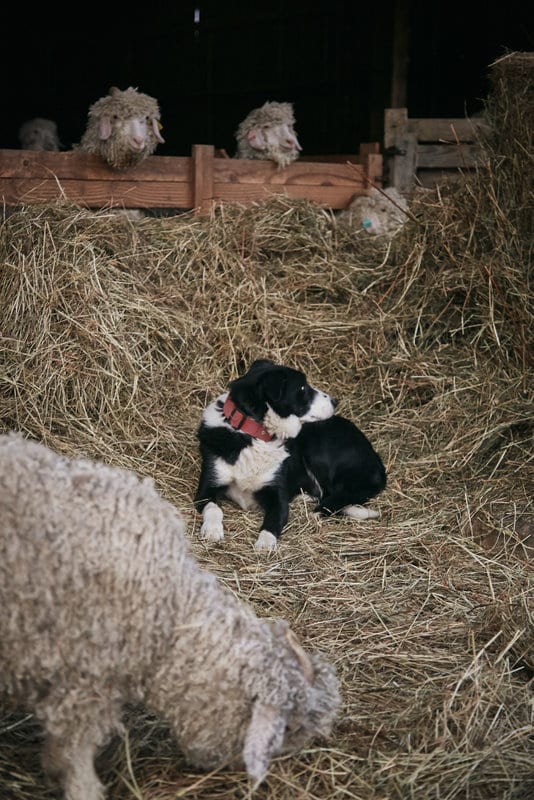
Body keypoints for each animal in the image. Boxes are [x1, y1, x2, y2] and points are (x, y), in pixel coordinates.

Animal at [0, 432, 340, 800]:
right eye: (285, 728)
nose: (248, 772)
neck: (169, 611)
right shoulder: (84, 680)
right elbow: (74, 754)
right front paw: (83, 788)